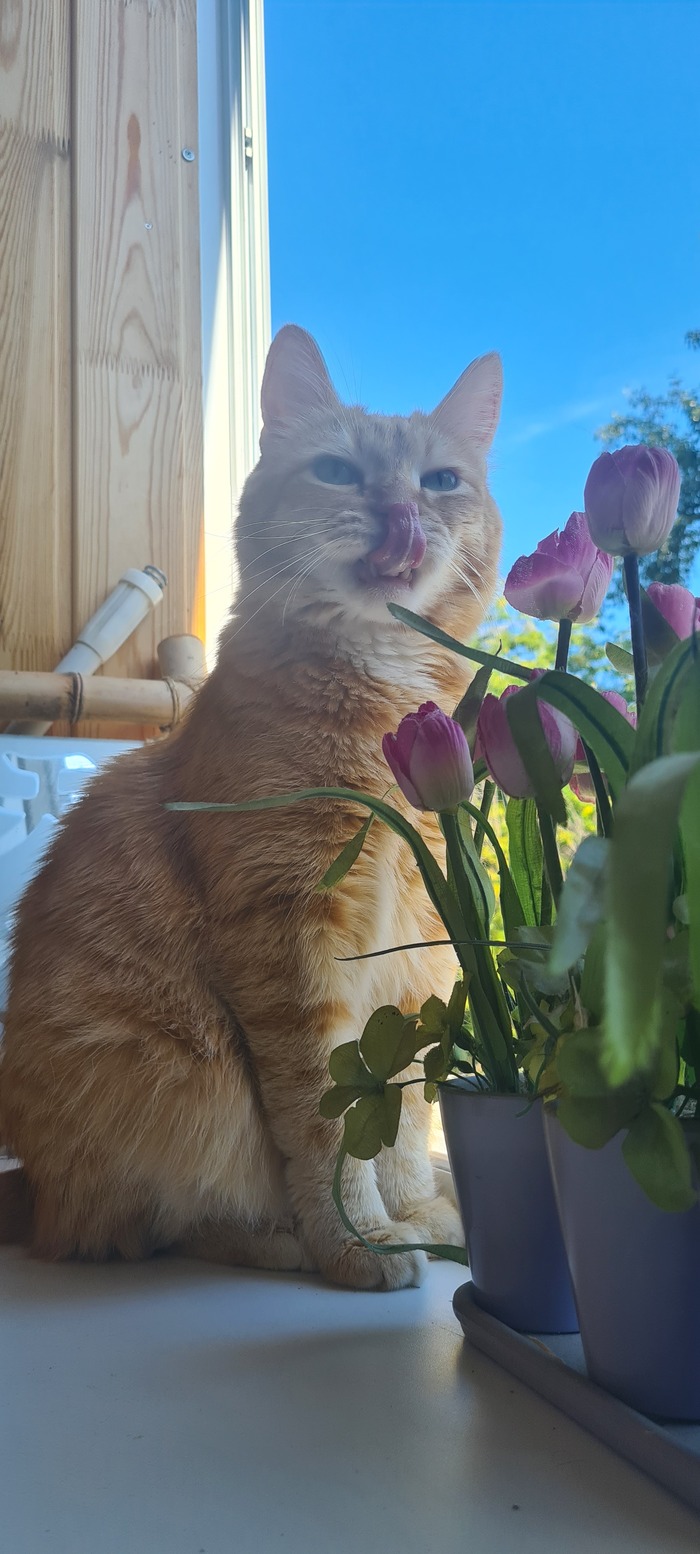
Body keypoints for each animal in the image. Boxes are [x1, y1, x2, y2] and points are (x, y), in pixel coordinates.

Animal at [0, 326, 503, 1289]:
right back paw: (283, 1242)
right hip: (178, 1086)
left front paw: (414, 1212)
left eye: (440, 481)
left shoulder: (416, 941)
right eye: (338, 472)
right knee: (154, 1226)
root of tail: (32, 1190)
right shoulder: (288, 934)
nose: (399, 511)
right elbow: (329, 1117)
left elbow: (402, 1110)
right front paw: (360, 1240)